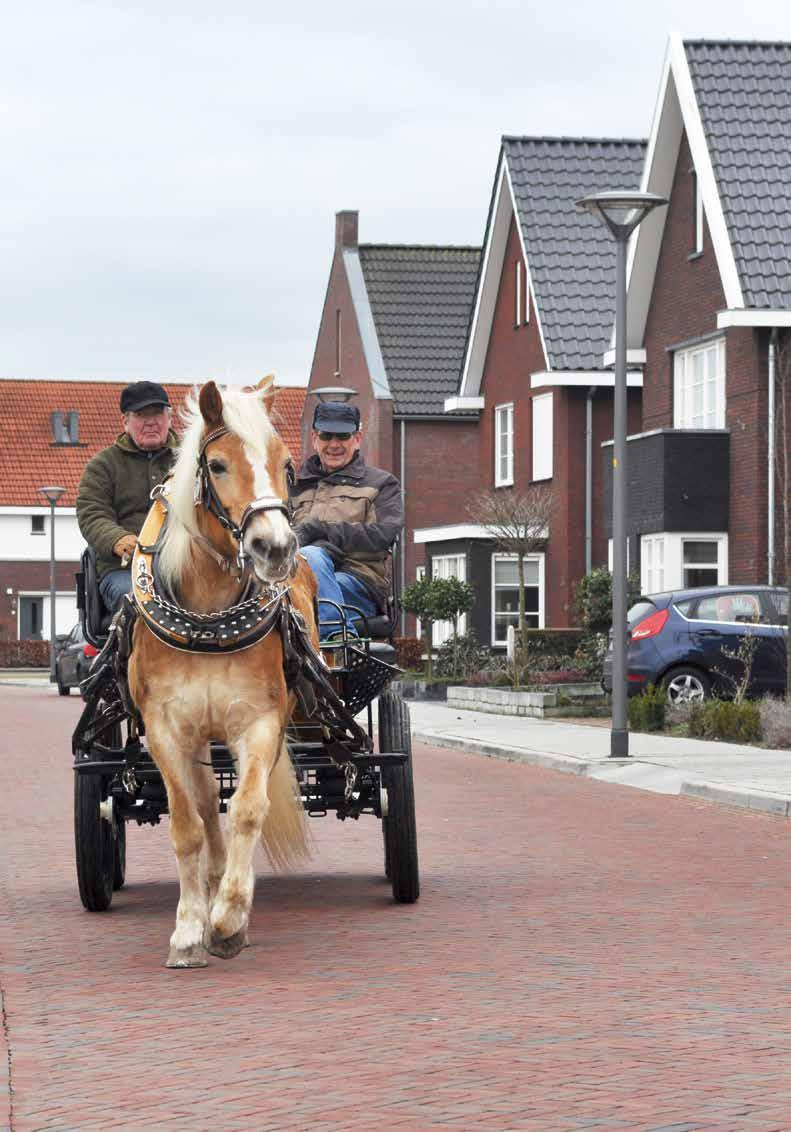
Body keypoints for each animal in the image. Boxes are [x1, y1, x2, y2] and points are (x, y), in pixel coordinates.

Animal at [126, 378, 319, 964]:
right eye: (216, 464)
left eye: (286, 464)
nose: (275, 548)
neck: (207, 622)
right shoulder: (166, 732)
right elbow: (188, 824)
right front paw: (190, 928)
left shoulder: (259, 723)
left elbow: (249, 810)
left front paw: (231, 916)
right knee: (208, 803)